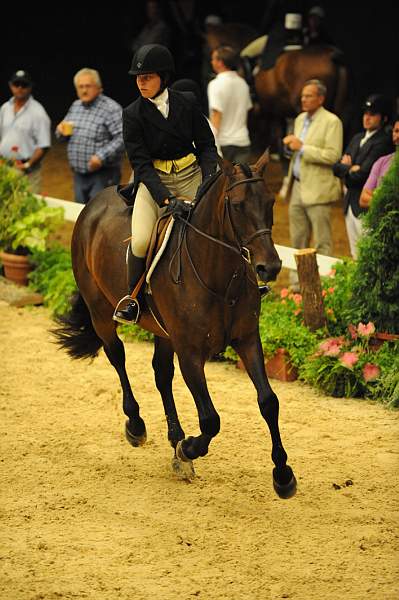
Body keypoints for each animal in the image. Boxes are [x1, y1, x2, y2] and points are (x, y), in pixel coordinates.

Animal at [53, 152, 296, 500]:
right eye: (237, 205)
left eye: (270, 201)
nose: (270, 267)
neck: (219, 278)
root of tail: (93, 203)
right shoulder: (190, 352)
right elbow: (210, 420)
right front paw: (189, 448)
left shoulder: (248, 339)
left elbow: (268, 402)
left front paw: (283, 474)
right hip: (101, 313)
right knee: (118, 357)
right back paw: (137, 426)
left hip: (163, 332)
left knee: (161, 374)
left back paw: (175, 440)